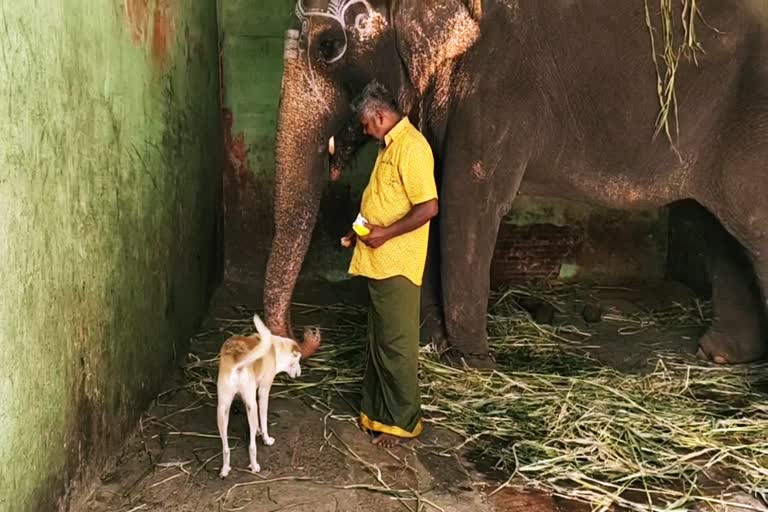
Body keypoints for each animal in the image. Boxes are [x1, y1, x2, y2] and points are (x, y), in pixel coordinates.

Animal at [214, 314, 320, 478]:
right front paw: (266, 438)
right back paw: (254, 465)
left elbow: (258, 423)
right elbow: (263, 420)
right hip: (251, 405)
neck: (274, 349)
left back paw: (225, 469)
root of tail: (238, 360)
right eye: (298, 360)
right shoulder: (263, 392)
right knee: (251, 446)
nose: (300, 373)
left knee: (225, 448)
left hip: (223, 409)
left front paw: (258, 430)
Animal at [264, 0, 768, 368]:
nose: (309, 335)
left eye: (329, 45)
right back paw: (720, 355)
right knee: (716, 228)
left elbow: (468, 201)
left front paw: (473, 362)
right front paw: (432, 344)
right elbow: (434, 197)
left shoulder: (499, 86)